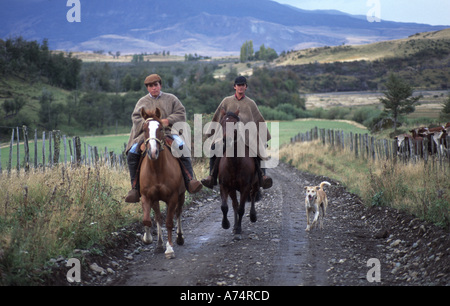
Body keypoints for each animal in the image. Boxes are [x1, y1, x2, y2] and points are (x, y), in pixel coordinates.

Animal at [139, 107, 185, 258]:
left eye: (160, 128)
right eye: (144, 129)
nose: (153, 152)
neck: (157, 170)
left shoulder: (173, 197)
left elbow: (169, 222)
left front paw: (169, 248)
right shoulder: (148, 197)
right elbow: (149, 219)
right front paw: (148, 238)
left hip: (181, 195)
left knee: (178, 212)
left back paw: (180, 237)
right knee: (158, 218)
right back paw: (159, 244)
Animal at [217, 109, 258, 240]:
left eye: (235, 123)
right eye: (222, 123)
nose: (227, 140)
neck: (234, 162)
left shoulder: (245, 187)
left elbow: (241, 208)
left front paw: (239, 229)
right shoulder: (225, 186)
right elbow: (225, 207)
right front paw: (226, 224)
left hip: (254, 184)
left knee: (253, 195)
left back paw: (252, 216)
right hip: (232, 189)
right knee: (234, 204)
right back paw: (234, 226)